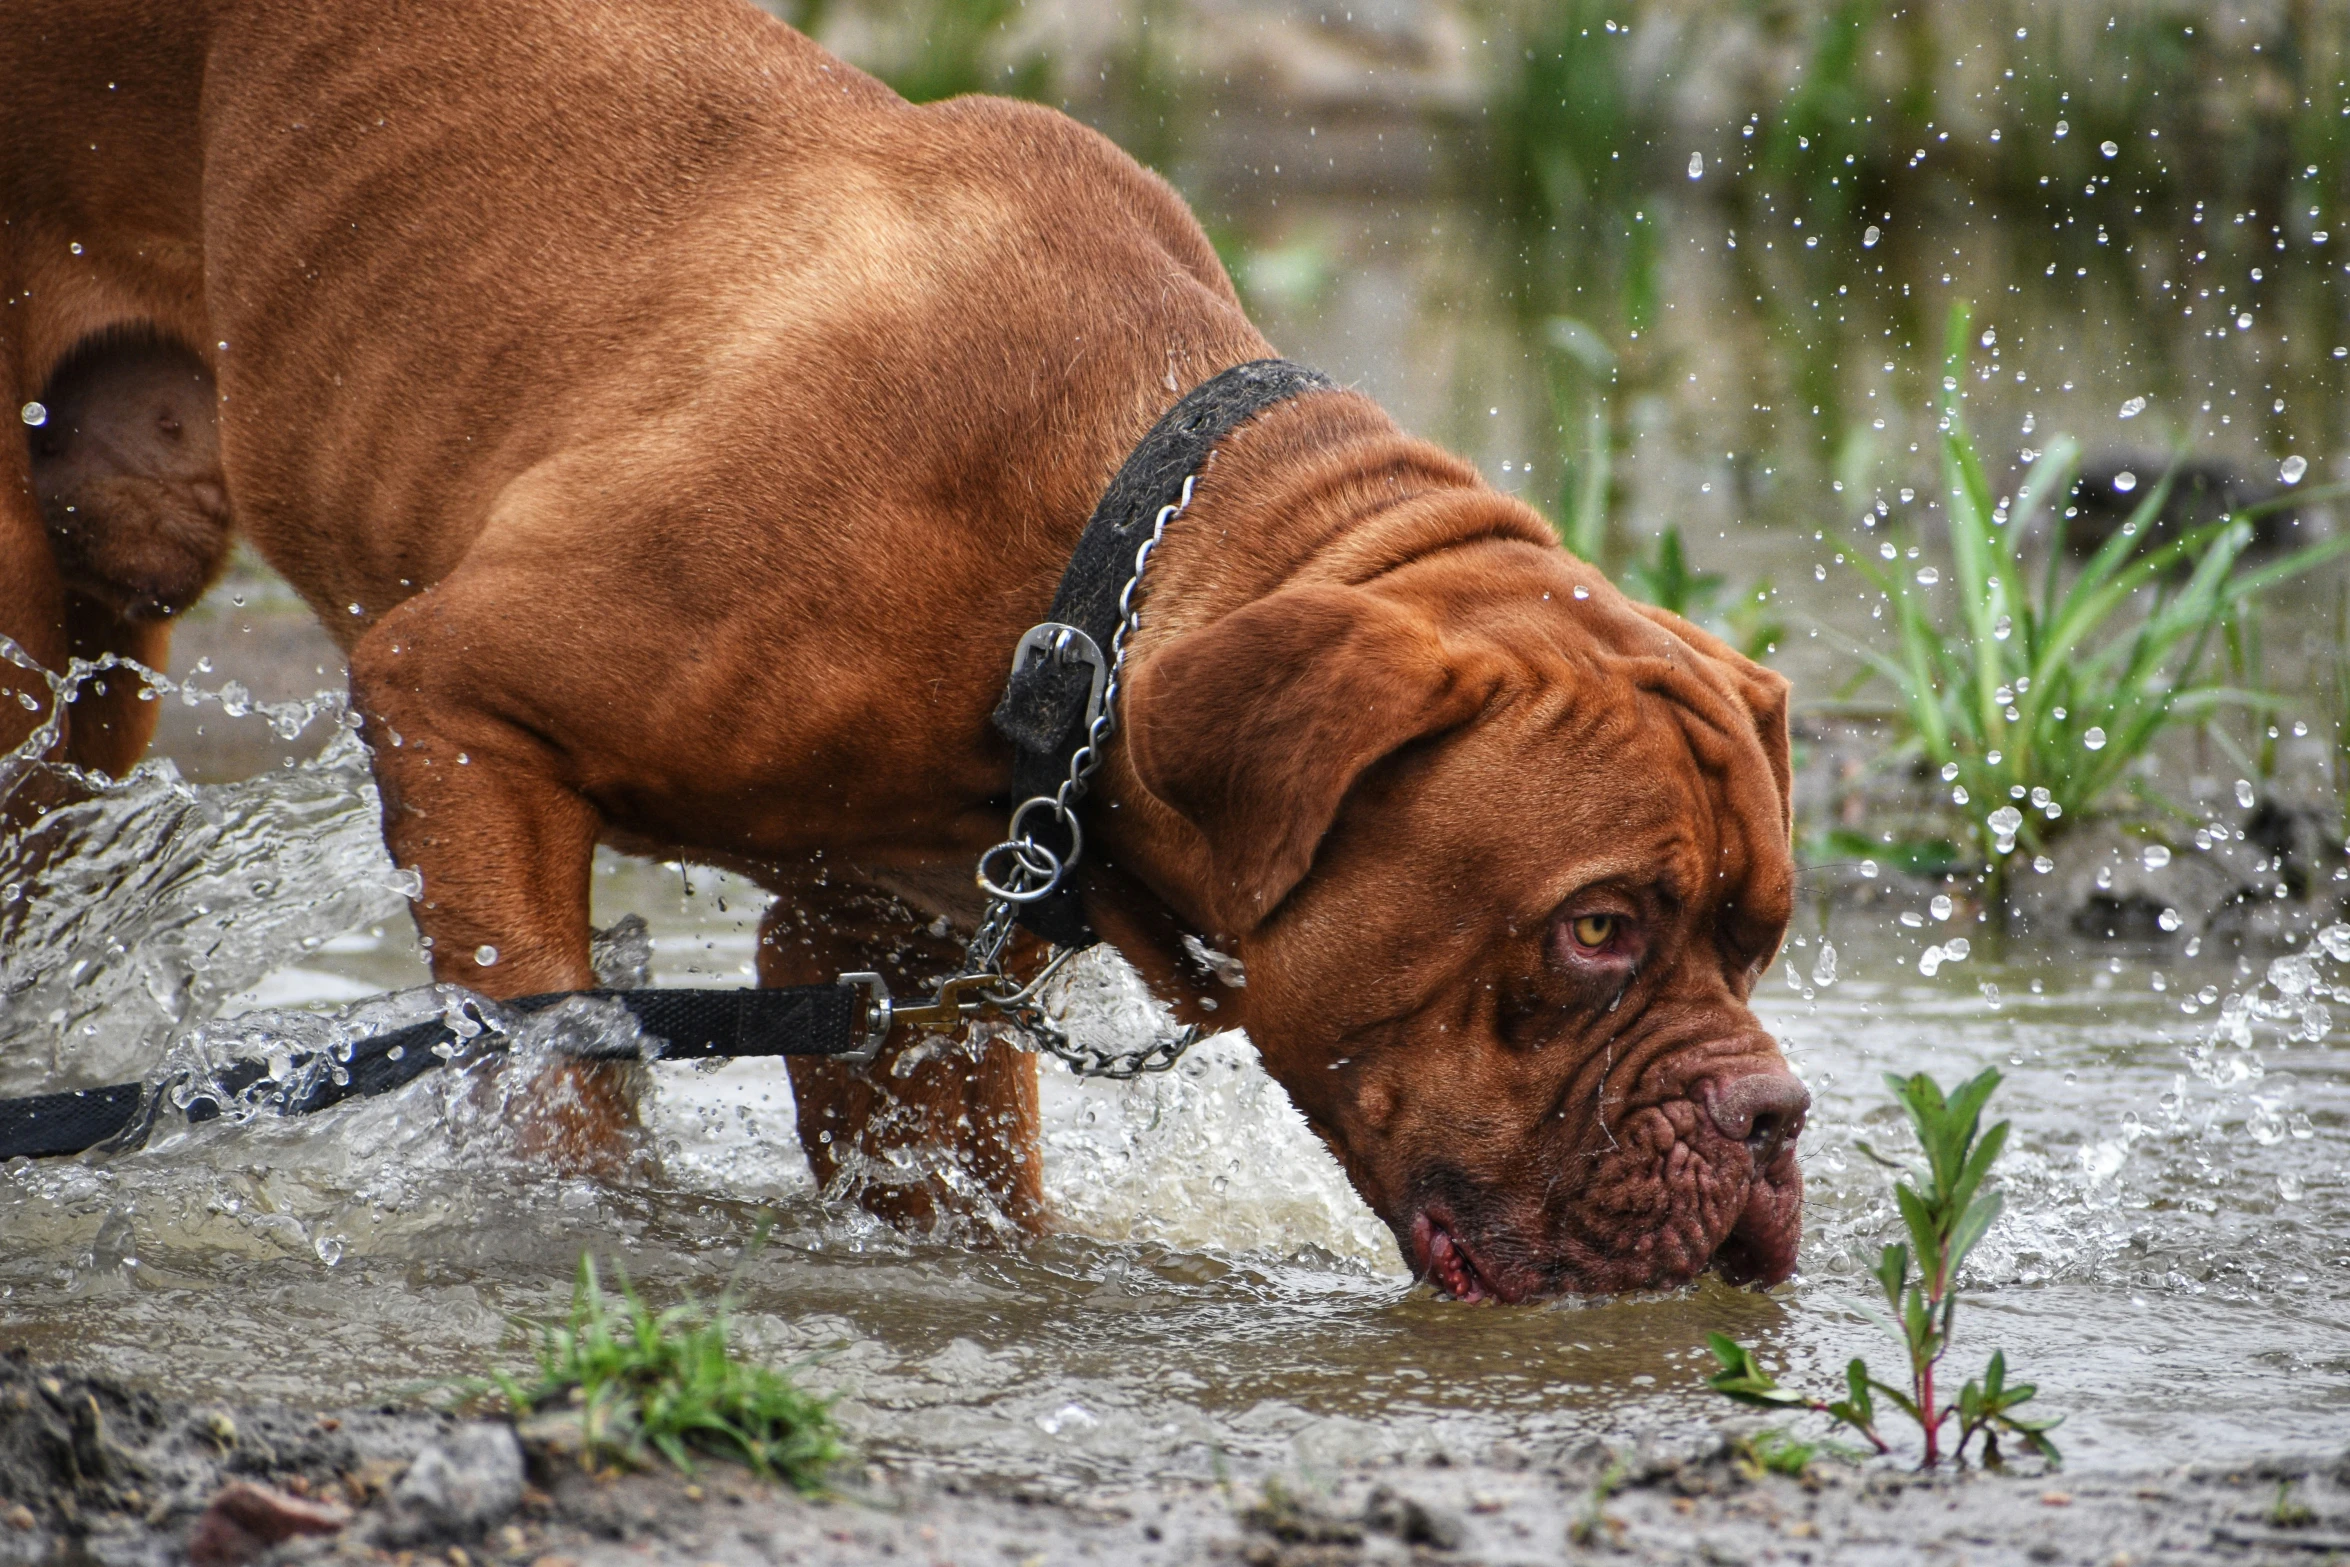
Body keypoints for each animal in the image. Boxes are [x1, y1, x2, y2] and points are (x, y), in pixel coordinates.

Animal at [4, 0, 1795, 1296]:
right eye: (1595, 929)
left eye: (1761, 937)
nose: (1773, 1114)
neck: (1092, 577)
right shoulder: (455, 706)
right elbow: (555, 1067)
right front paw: (571, 1227)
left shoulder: (896, 958)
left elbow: (957, 1184)